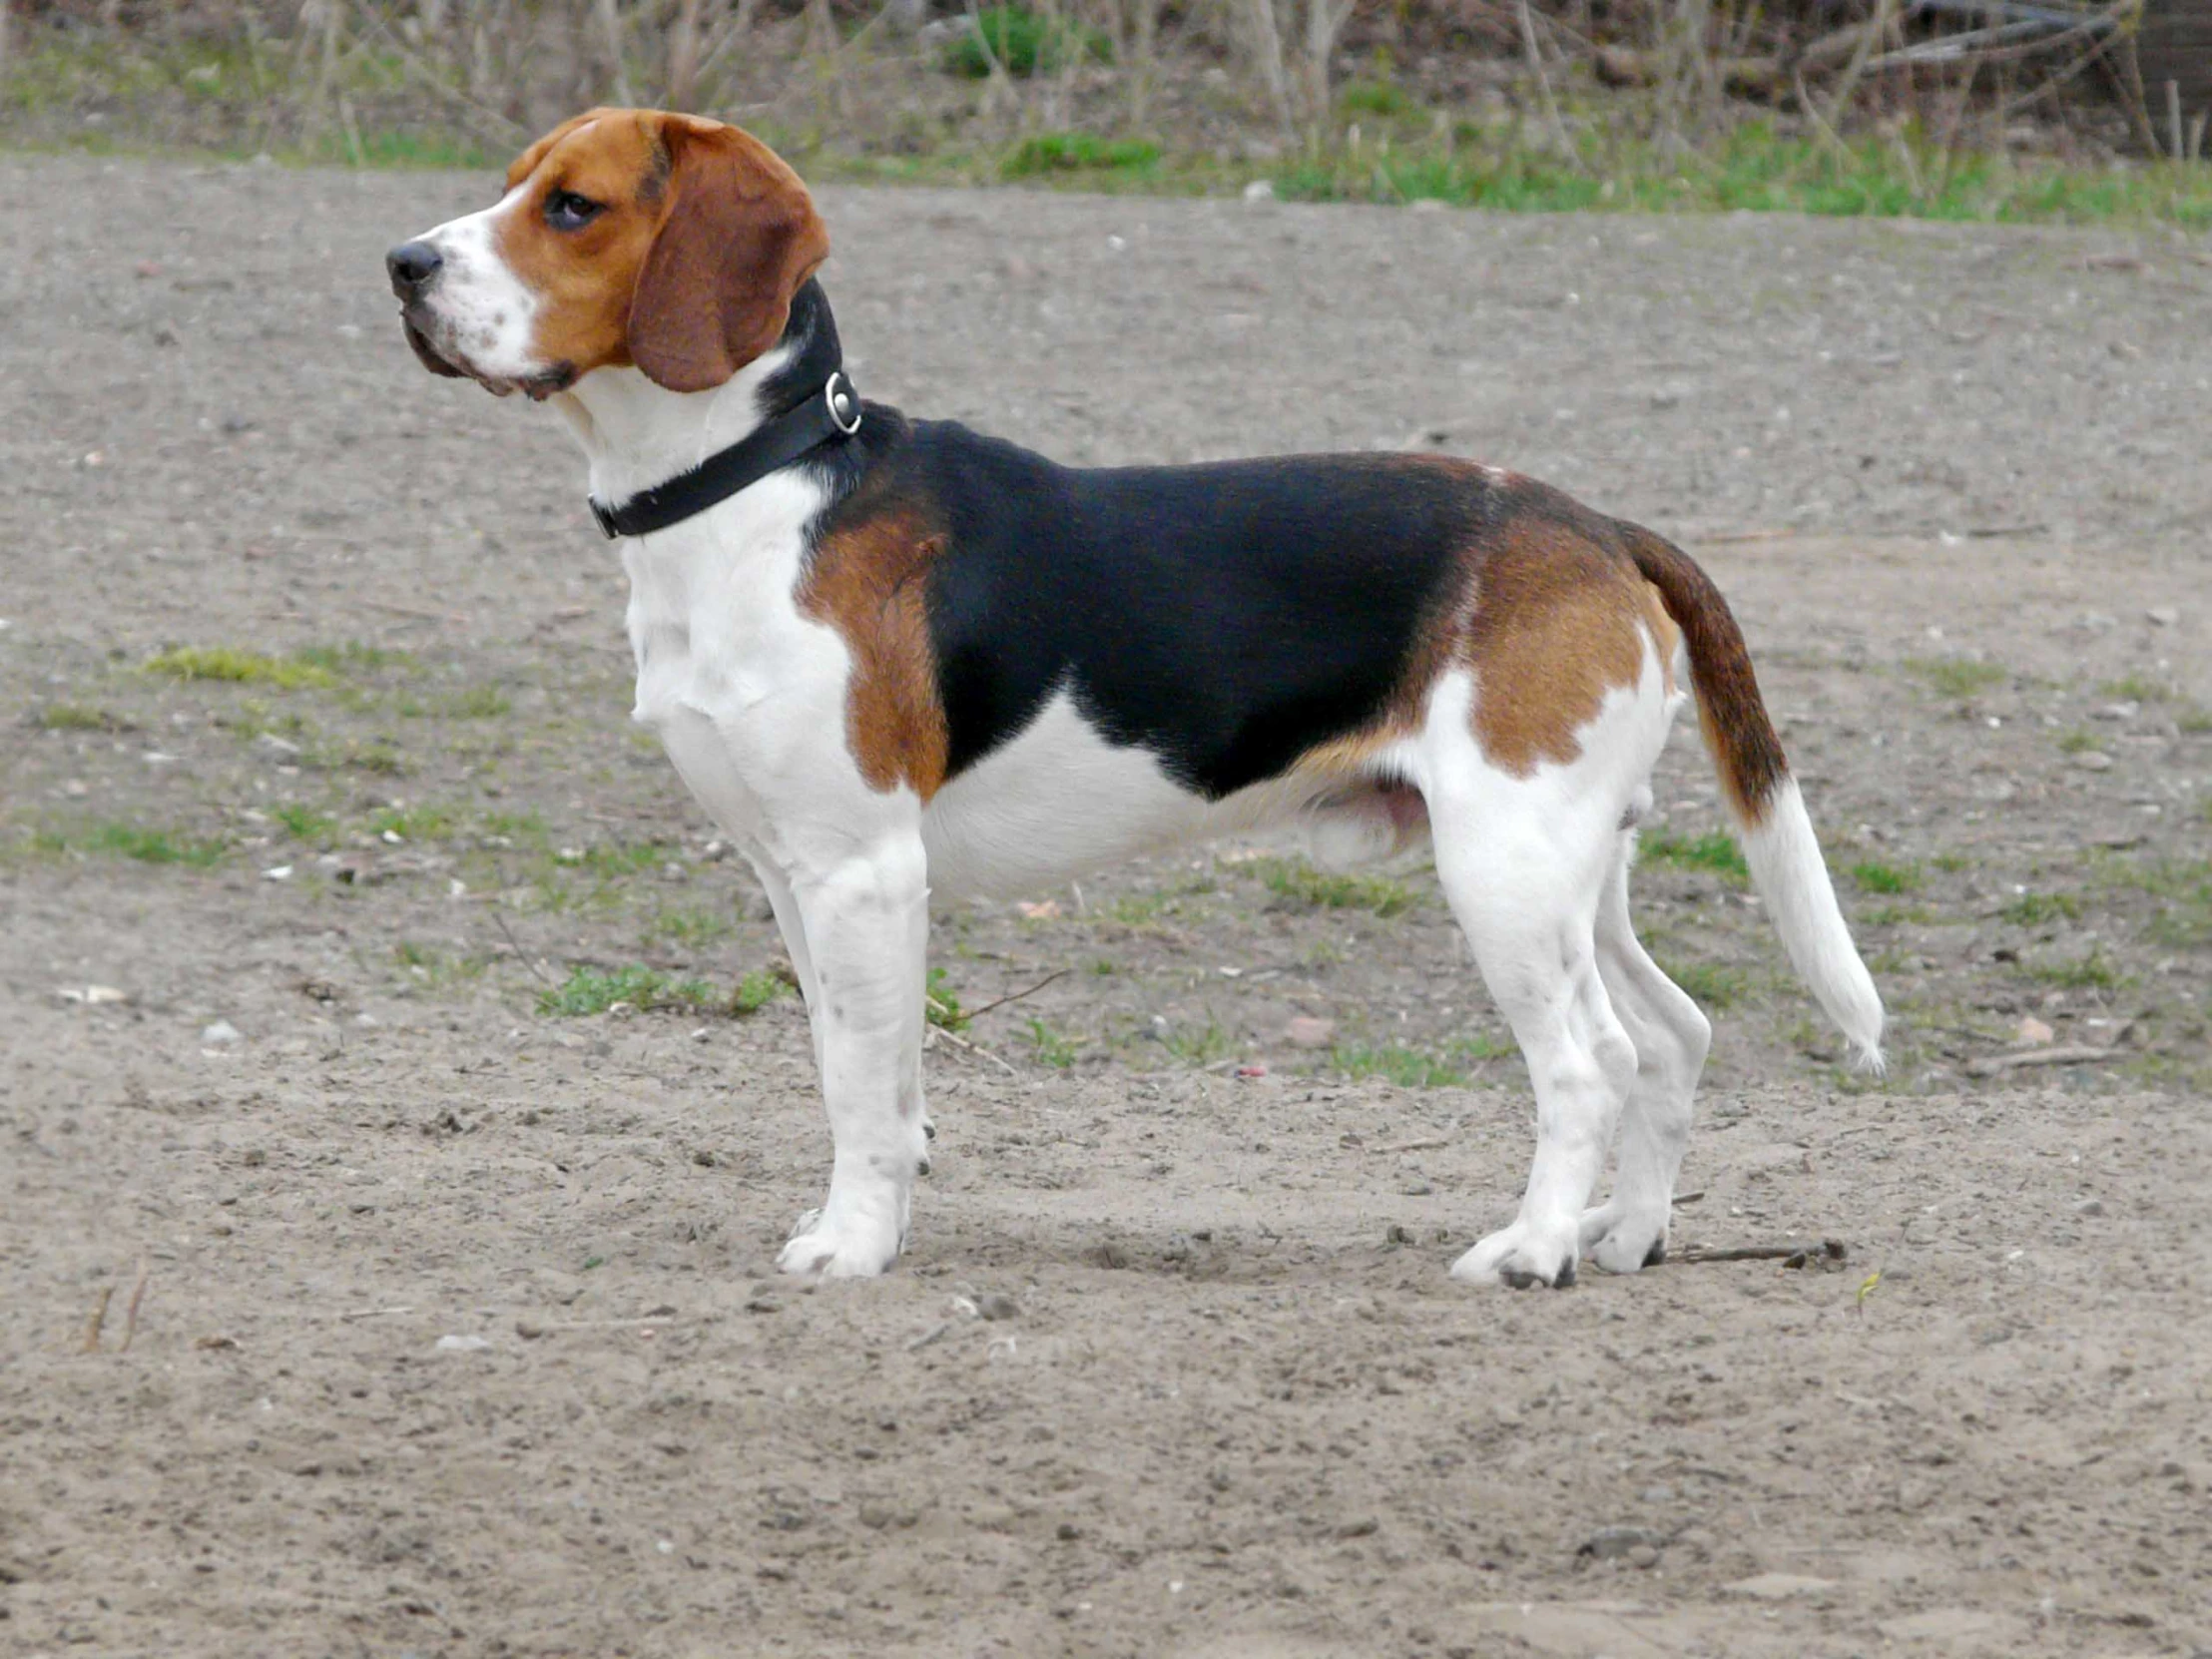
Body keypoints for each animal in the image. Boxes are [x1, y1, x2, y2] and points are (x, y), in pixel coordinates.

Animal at [389, 110, 1876, 1292]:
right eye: (510, 184)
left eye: (571, 206)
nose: (403, 265)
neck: (762, 481)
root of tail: (1593, 522)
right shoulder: (794, 877)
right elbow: (859, 1073)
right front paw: (871, 1219)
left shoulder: (862, 869)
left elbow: (863, 1092)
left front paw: (853, 1249)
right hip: (1569, 866)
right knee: (1674, 1036)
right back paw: (1625, 1239)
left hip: (1502, 867)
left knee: (1589, 1063)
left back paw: (1533, 1251)